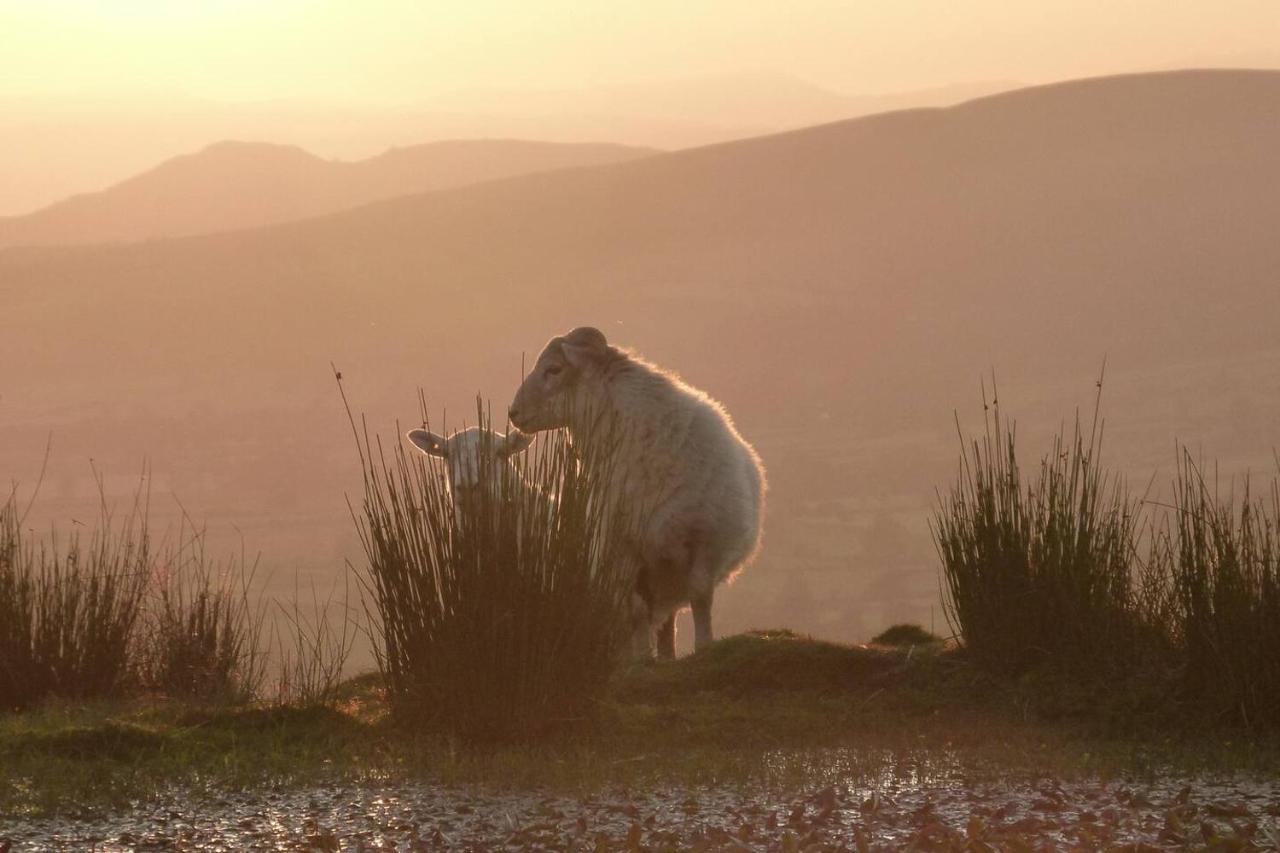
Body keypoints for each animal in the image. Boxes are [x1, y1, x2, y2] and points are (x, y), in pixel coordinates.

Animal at [501, 325, 762, 655]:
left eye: (554, 369)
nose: (513, 412)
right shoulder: (621, 549)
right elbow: (636, 611)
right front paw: (642, 658)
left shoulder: (705, 538)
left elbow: (701, 598)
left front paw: (704, 645)